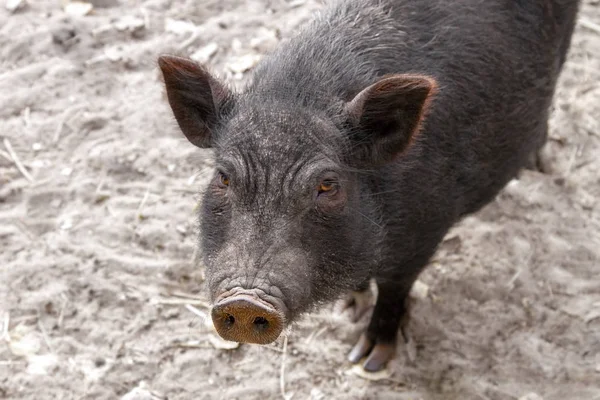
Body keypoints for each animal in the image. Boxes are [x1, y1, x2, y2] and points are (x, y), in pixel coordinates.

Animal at [157, 0, 580, 372]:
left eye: (327, 185)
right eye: (223, 177)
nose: (245, 303)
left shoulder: (425, 229)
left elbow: (395, 289)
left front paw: (368, 361)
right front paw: (348, 310)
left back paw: (539, 166)